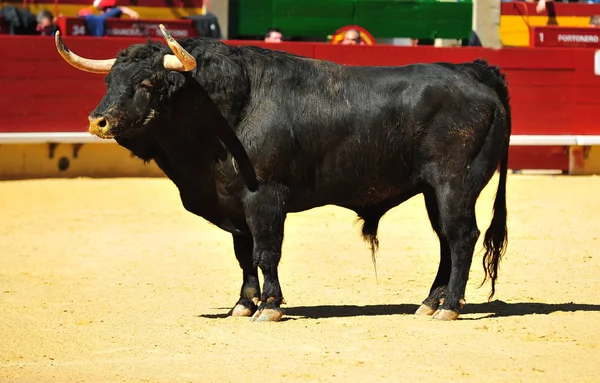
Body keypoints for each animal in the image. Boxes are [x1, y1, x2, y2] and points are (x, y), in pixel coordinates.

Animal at [55, 26, 510, 320]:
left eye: (148, 84)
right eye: (111, 81)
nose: (98, 121)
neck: (229, 109)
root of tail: (474, 73)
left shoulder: (265, 198)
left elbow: (266, 252)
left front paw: (270, 306)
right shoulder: (234, 205)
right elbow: (243, 255)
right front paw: (243, 304)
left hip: (454, 183)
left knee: (462, 237)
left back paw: (449, 307)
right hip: (433, 190)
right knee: (446, 240)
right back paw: (429, 303)